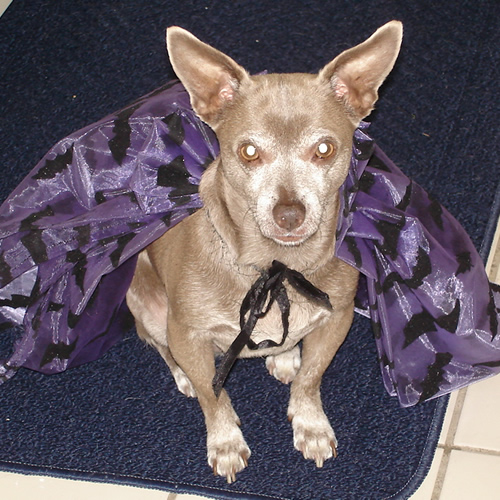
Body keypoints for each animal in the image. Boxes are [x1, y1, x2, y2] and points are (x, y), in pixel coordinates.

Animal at [126, 21, 402, 482]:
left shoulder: (337, 319)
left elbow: (311, 379)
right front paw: (224, 442)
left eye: (324, 149)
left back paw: (285, 353)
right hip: (146, 306)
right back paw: (184, 377)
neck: (277, 266)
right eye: (248, 151)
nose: (289, 212)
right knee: (162, 348)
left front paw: (310, 424)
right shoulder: (188, 334)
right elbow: (213, 397)